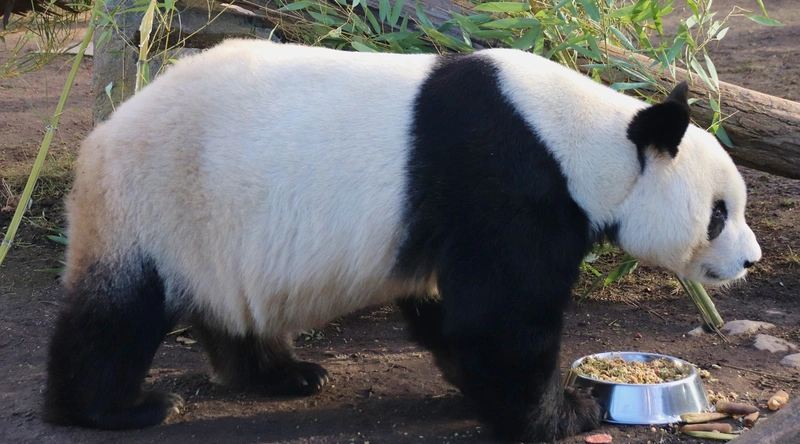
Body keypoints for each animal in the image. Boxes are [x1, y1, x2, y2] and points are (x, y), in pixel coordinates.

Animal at [44, 39, 761, 442]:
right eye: (718, 214)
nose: (749, 260)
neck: (590, 139)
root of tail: (101, 137)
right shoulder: (507, 181)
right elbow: (501, 319)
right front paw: (565, 414)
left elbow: (450, 311)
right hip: (159, 202)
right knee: (117, 314)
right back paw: (113, 409)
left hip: (217, 233)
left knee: (234, 310)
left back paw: (285, 374)